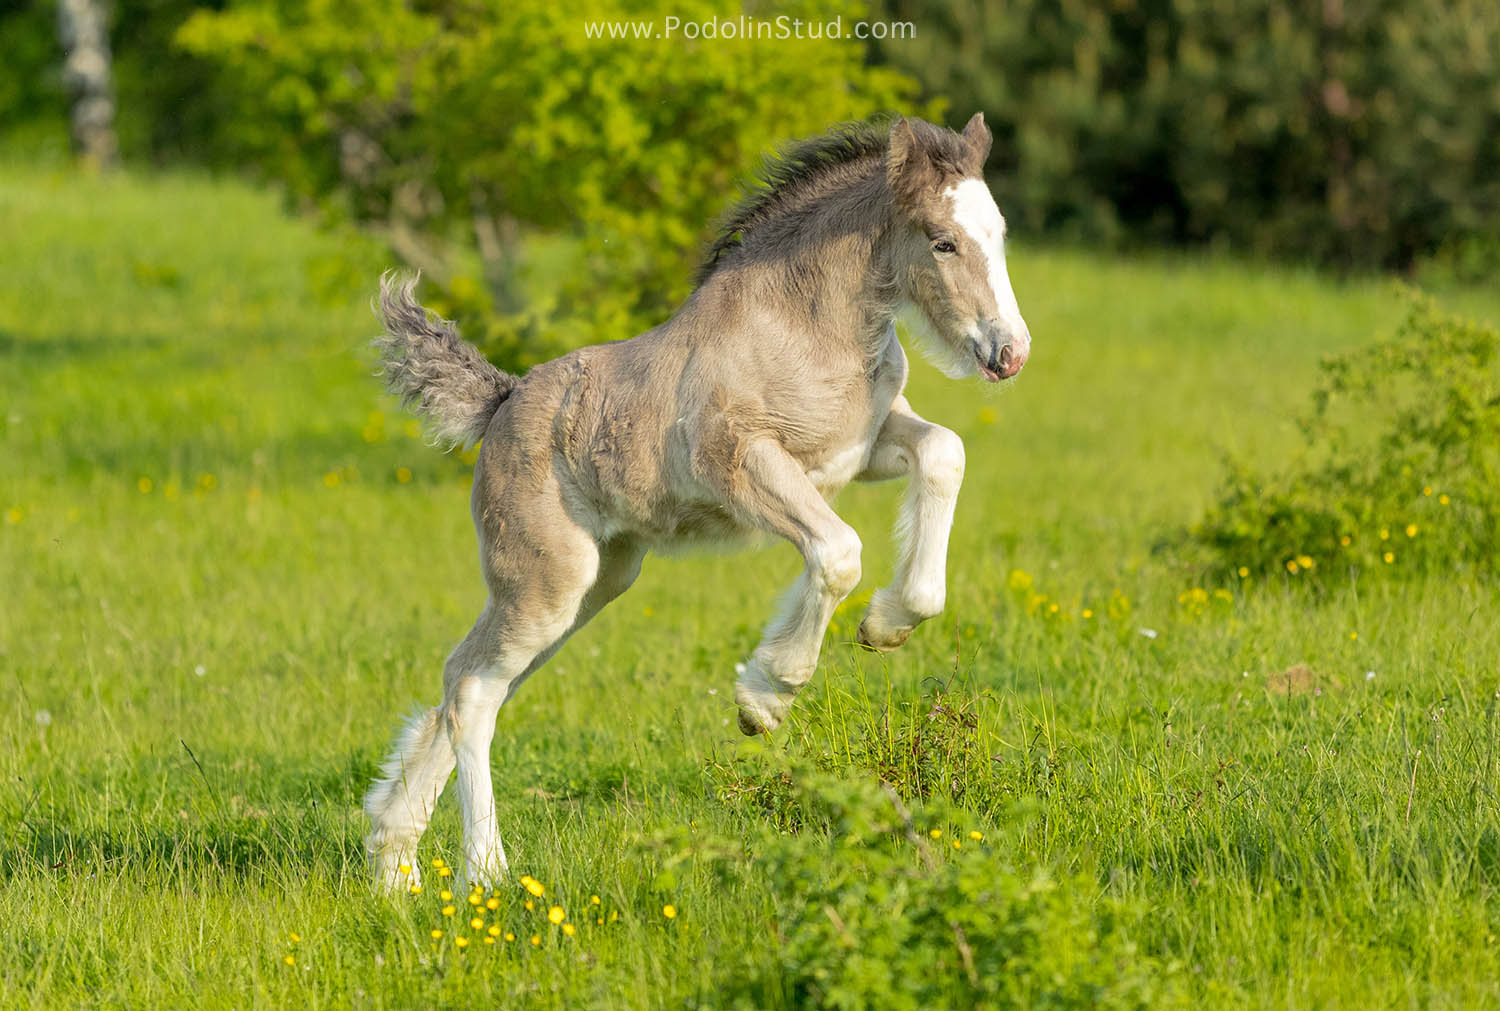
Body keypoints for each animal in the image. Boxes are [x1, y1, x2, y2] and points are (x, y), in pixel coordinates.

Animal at [363, 114, 1032, 888]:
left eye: (1000, 232)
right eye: (942, 240)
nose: (1010, 353)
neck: (805, 327)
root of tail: (499, 403)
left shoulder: (858, 451)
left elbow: (944, 454)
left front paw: (888, 623)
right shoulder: (742, 463)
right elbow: (837, 552)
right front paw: (765, 697)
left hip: (595, 585)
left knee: (468, 682)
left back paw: (394, 863)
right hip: (545, 585)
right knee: (472, 692)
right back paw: (486, 871)